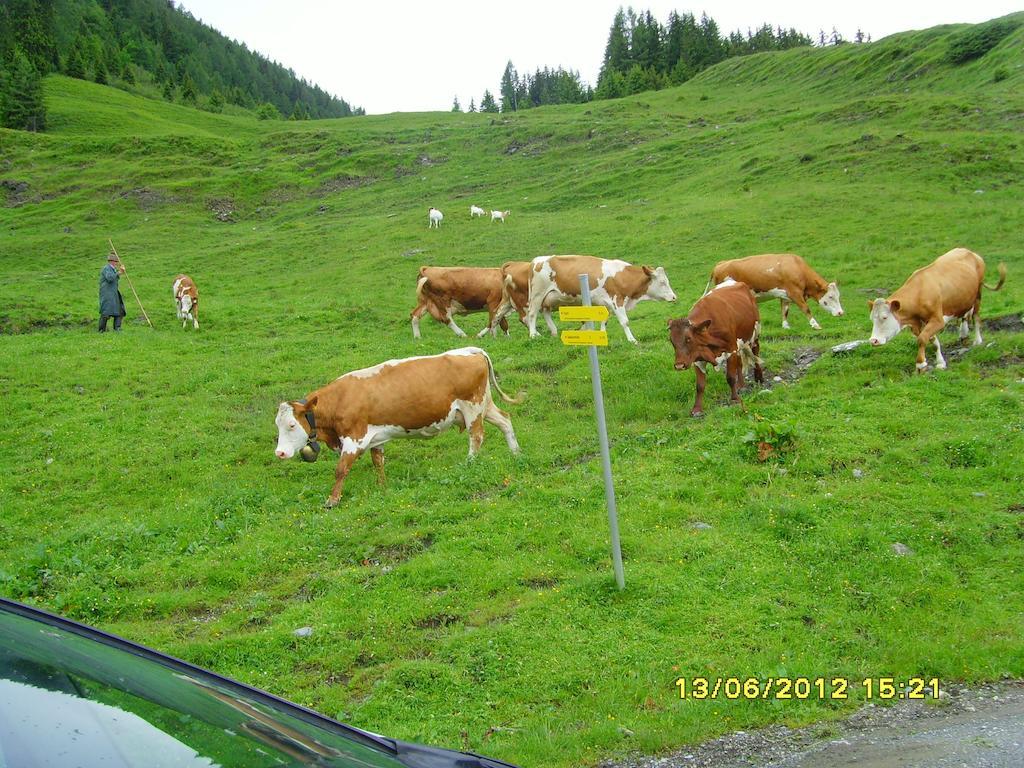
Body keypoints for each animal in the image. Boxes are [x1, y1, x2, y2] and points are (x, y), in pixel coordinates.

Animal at [276, 348, 524, 505]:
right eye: (277, 425)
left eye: (291, 425)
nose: (279, 453)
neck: (341, 399)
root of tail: (472, 351)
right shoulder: (375, 438)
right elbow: (378, 462)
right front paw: (382, 486)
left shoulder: (355, 438)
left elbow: (341, 469)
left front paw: (332, 500)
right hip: (484, 405)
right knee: (505, 420)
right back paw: (516, 453)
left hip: (472, 408)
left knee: (477, 436)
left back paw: (469, 463)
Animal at [524, 256, 675, 342]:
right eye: (662, 282)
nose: (674, 297)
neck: (622, 276)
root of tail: (536, 261)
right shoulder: (617, 300)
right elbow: (625, 322)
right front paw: (632, 340)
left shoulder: (608, 304)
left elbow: (605, 320)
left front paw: (602, 334)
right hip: (538, 294)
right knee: (532, 314)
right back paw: (533, 335)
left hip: (549, 298)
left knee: (545, 312)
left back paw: (554, 331)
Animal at [667, 280, 765, 417]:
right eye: (672, 341)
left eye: (688, 339)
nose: (679, 366)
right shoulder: (697, 359)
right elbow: (700, 385)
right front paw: (697, 409)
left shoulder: (731, 350)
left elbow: (730, 377)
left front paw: (735, 399)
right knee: (740, 363)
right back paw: (741, 385)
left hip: (755, 333)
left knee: (756, 352)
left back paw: (759, 377)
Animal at [708, 253, 843, 329]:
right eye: (830, 296)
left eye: (838, 296)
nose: (841, 313)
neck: (797, 268)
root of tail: (721, 263)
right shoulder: (795, 293)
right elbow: (806, 308)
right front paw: (815, 324)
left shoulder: (785, 295)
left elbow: (785, 311)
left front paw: (785, 326)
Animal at [868, 247, 1003, 370]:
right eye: (872, 319)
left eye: (884, 317)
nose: (873, 340)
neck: (919, 293)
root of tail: (970, 252)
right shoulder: (920, 323)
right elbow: (933, 341)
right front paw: (940, 362)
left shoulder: (938, 320)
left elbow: (922, 339)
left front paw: (921, 364)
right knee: (965, 315)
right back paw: (963, 334)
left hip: (978, 294)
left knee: (975, 316)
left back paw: (977, 340)